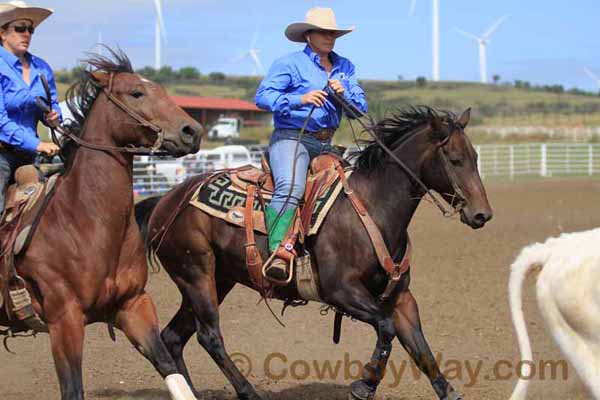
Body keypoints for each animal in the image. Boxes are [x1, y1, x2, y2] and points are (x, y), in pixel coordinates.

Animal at [0, 50, 203, 400]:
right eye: (136, 92)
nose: (193, 131)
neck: (84, 222)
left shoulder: (134, 305)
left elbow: (171, 371)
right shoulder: (64, 321)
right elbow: (73, 389)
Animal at [139, 106, 492, 400]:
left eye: (475, 157)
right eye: (455, 159)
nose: (482, 215)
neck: (371, 207)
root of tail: (166, 200)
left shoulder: (401, 298)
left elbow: (421, 349)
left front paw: (447, 391)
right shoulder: (341, 291)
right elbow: (386, 329)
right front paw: (365, 385)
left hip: (216, 279)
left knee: (173, 337)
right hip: (196, 275)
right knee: (209, 336)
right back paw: (248, 391)